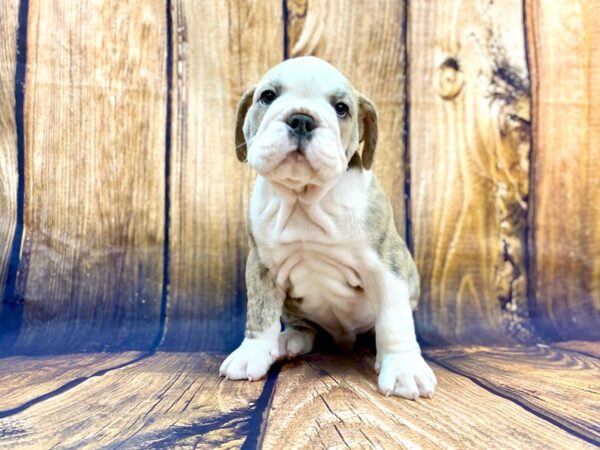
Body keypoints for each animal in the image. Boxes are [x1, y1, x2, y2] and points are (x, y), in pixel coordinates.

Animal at [220, 57, 436, 400]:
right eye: (267, 96)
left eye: (341, 109)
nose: (301, 119)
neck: (304, 199)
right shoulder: (261, 266)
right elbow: (261, 314)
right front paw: (252, 353)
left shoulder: (387, 267)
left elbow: (394, 320)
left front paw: (405, 368)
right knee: (303, 328)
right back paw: (287, 341)